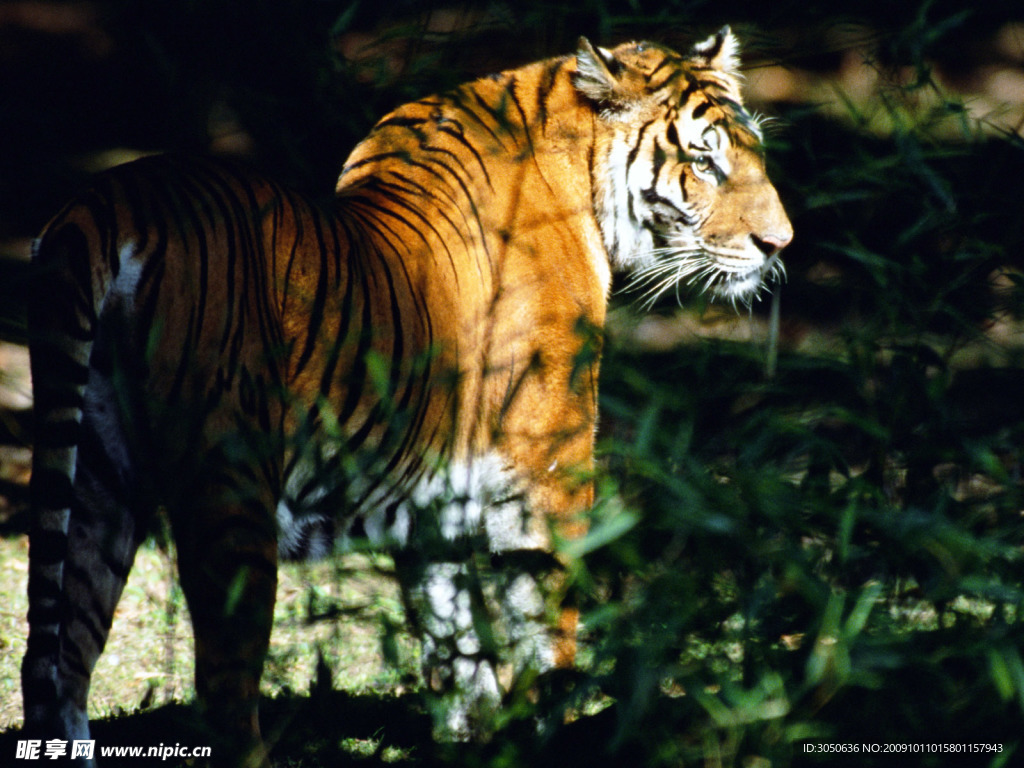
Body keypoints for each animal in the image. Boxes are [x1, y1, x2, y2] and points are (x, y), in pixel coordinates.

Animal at [22, 27, 790, 765]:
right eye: (705, 162)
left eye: (753, 154)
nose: (779, 243)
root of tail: (105, 204)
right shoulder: (548, 466)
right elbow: (546, 629)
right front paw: (552, 732)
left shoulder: (435, 502)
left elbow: (456, 651)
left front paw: (478, 742)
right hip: (230, 494)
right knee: (222, 691)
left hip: (96, 480)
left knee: (56, 662)